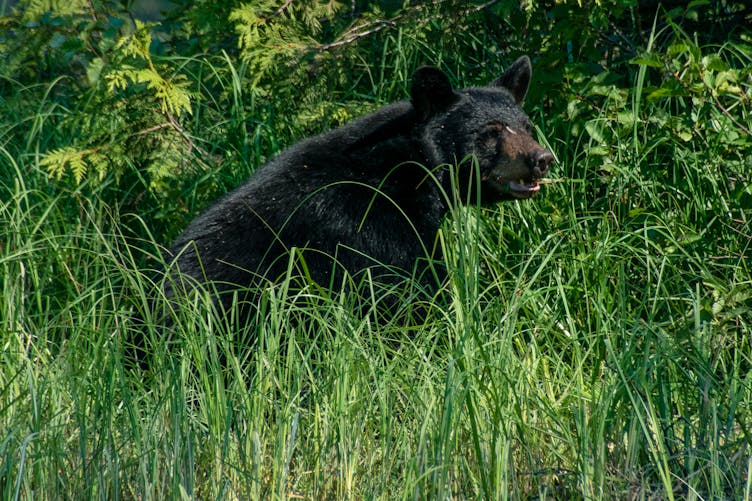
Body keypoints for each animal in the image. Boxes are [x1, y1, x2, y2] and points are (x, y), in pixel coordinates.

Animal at [165, 55, 553, 318]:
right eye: (491, 131)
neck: (409, 169)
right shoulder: (372, 225)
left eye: (527, 126)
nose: (542, 158)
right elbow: (410, 288)